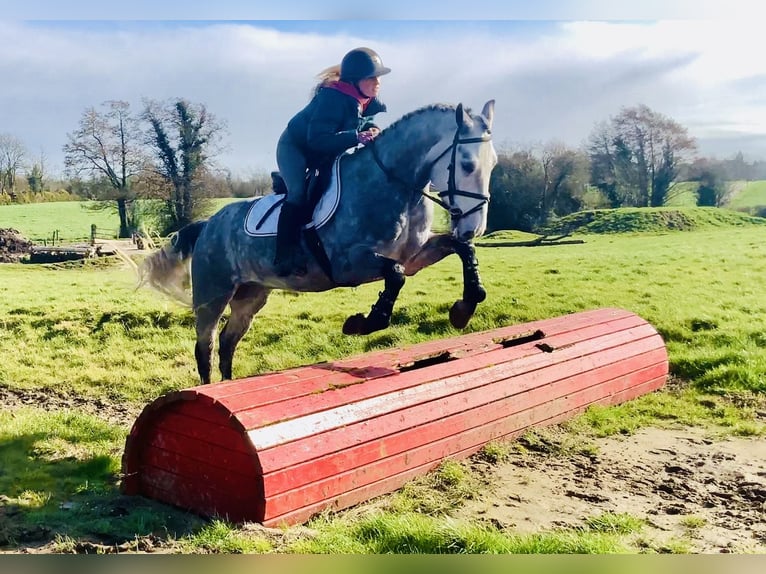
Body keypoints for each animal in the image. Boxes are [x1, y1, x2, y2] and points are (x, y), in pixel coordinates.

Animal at [140, 100, 498, 385]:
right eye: (466, 164)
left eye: (493, 163)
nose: (474, 227)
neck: (394, 184)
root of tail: (209, 224)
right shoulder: (349, 264)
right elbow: (394, 274)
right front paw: (362, 323)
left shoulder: (415, 257)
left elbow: (459, 250)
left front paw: (465, 306)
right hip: (212, 294)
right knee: (207, 345)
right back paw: (210, 388)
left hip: (251, 295)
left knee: (229, 341)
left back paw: (227, 386)